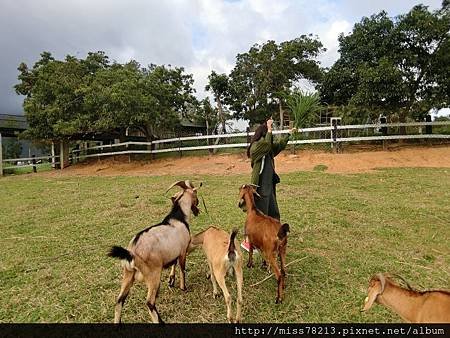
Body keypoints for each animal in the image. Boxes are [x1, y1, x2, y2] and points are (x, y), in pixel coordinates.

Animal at [106, 181, 200, 324]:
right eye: (195, 194)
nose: (198, 207)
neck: (179, 218)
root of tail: (132, 252)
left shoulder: (173, 252)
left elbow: (173, 264)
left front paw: (171, 281)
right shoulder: (183, 251)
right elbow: (182, 268)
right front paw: (183, 287)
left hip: (128, 274)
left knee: (119, 300)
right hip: (153, 274)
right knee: (149, 302)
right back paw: (160, 322)